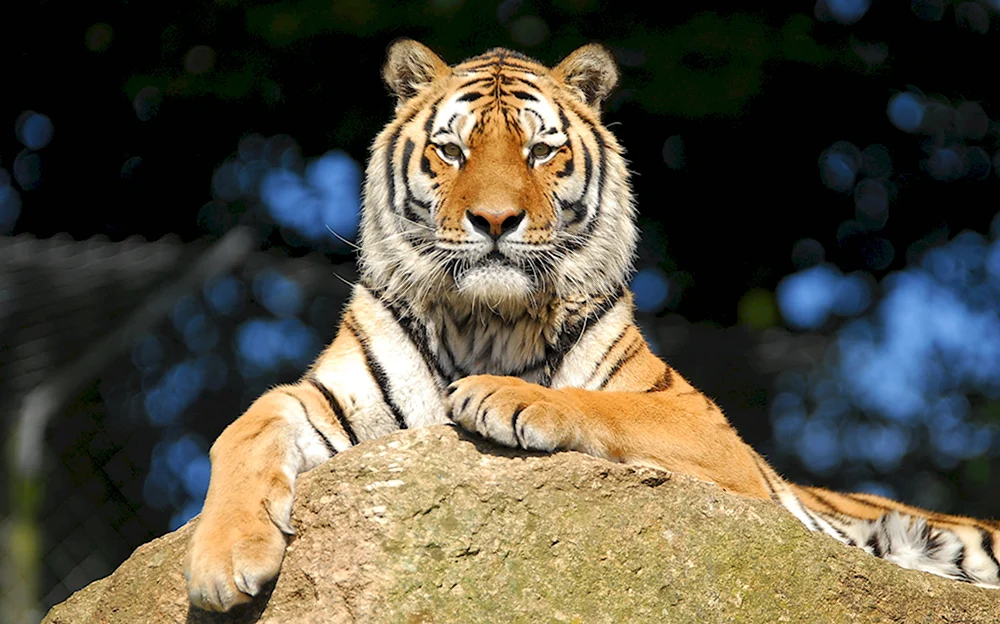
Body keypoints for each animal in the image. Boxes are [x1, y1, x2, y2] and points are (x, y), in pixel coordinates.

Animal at [183, 39, 1000, 612]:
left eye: (541, 150)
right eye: (451, 149)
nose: (495, 221)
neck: (484, 319)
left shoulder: (705, 426)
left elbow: (601, 404)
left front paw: (505, 395)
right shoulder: (333, 400)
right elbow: (245, 425)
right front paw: (223, 562)